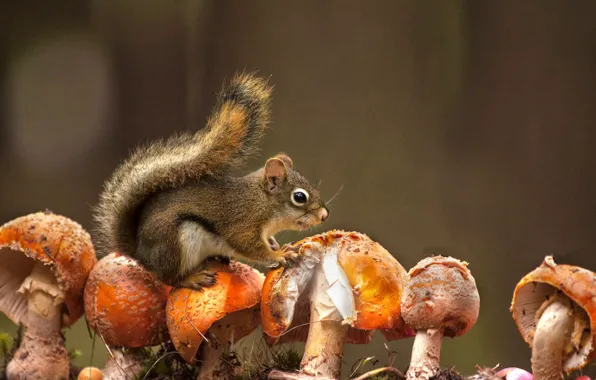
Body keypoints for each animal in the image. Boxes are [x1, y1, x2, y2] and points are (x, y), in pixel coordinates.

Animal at [92, 72, 330, 290]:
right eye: (299, 197)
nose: (324, 215)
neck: (262, 201)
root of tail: (142, 255)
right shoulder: (243, 221)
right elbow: (248, 245)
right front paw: (279, 254)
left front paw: (275, 245)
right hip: (174, 243)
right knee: (168, 278)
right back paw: (192, 279)